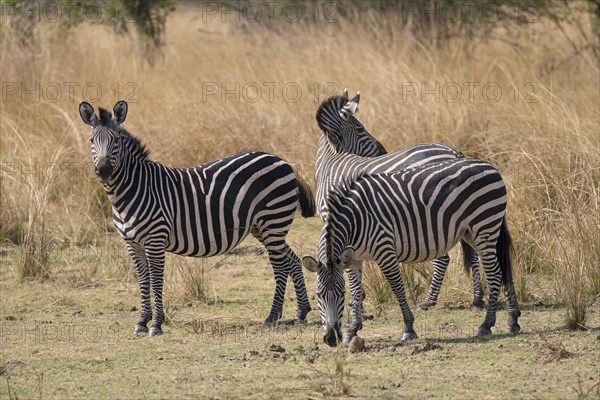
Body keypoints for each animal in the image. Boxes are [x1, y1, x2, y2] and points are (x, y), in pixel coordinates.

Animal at [78, 99, 318, 334]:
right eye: (91, 140)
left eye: (116, 140)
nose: (103, 170)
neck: (131, 191)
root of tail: (282, 161)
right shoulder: (132, 243)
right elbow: (143, 281)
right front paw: (142, 321)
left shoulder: (155, 240)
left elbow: (156, 280)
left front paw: (156, 324)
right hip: (264, 227)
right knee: (293, 260)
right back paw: (302, 312)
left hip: (273, 221)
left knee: (281, 266)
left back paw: (272, 317)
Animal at [304, 158, 520, 346]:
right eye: (319, 294)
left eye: (340, 294)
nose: (331, 339)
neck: (354, 220)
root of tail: (489, 166)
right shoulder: (353, 258)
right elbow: (357, 292)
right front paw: (352, 330)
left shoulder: (384, 249)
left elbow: (397, 288)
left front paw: (408, 329)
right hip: (472, 232)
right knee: (503, 270)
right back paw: (513, 320)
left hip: (485, 226)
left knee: (494, 274)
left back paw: (486, 324)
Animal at [316, 90, 486, 310]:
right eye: (361, 128)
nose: (383, 151)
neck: (331, 162)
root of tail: (455, 152)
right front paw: (357, 298)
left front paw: (355, 300)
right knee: (472, 251)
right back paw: (477, 297)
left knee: (443, 258)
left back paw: (429, 300)